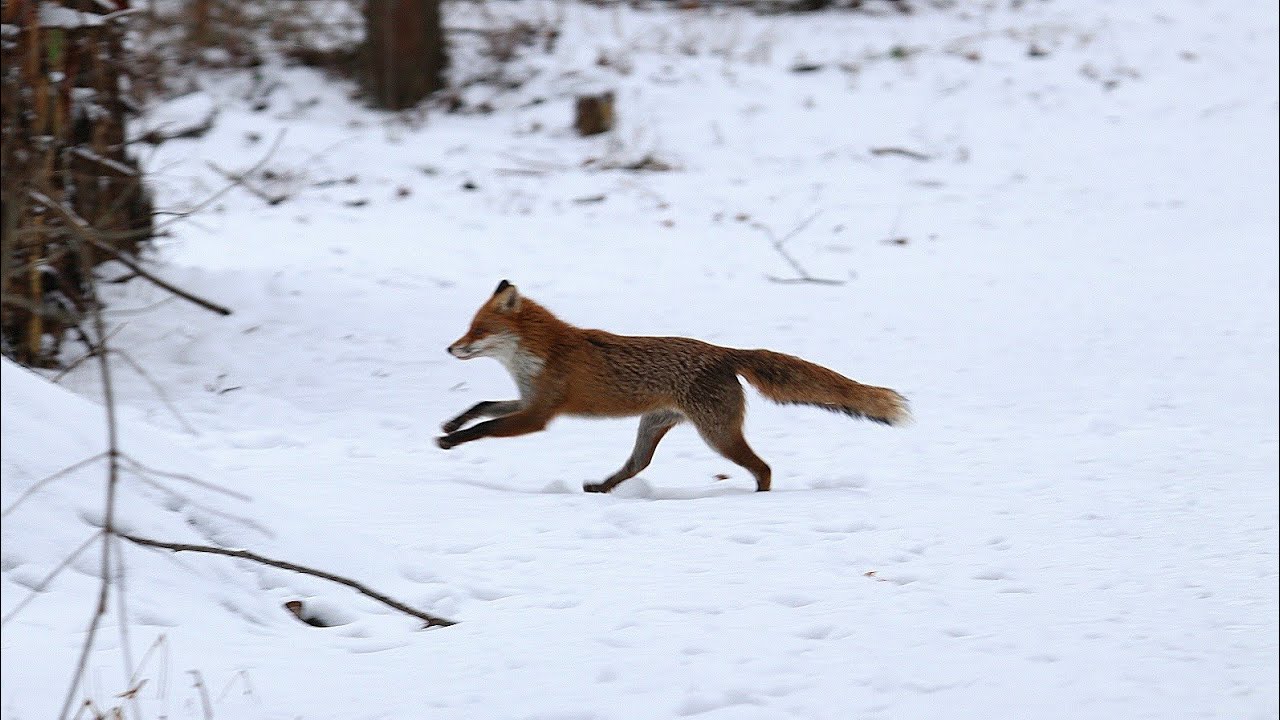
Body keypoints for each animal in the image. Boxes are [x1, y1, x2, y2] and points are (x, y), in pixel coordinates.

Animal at [437, 280, 909, 493]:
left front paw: (452, 441)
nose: (450, 348)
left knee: (763, 467)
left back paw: (758, 498)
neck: (541, 354)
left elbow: (485, 427)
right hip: (653, 426)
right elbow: (482, 405)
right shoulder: (527, 400)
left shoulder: (539, 415)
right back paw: (602, 488)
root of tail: (723, 352)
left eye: (478, 330)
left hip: (717, 435)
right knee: (637, 465)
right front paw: (450, 426)